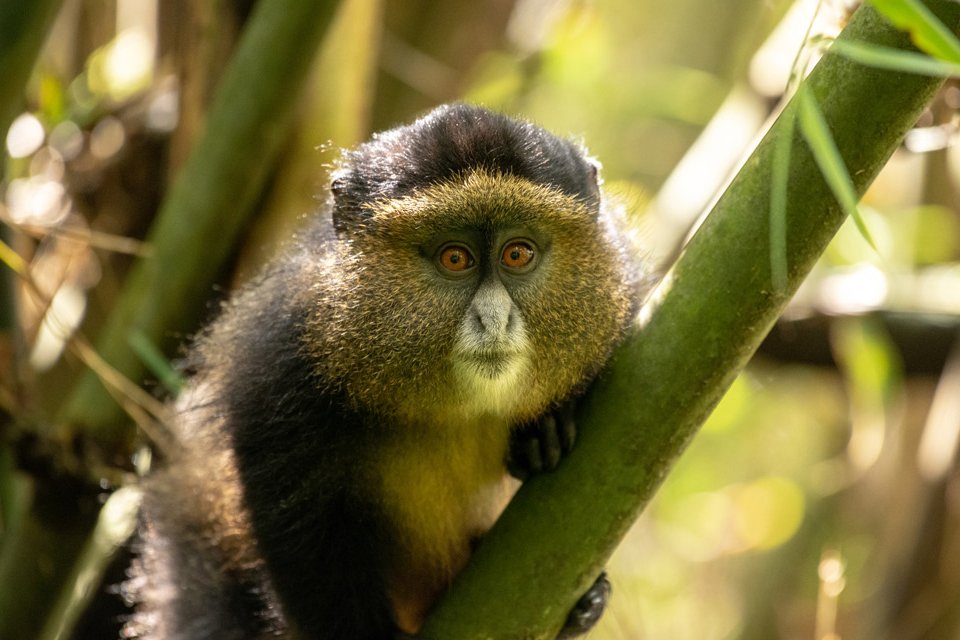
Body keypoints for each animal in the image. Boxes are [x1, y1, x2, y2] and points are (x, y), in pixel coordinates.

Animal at [124, 103, 649, 640]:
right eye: (455, 258)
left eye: (517, 253)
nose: (493, 319)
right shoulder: (280, 367)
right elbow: (300, 532)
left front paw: (545, 426)